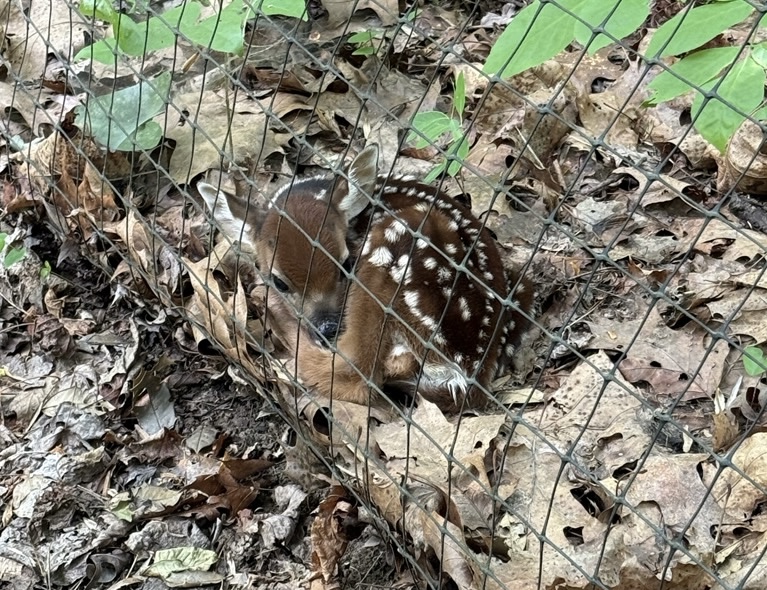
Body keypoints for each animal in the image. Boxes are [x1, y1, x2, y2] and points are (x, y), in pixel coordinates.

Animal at [197, 145, 531, 411]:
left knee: (359, 373)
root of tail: (469, 372)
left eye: (347, 264)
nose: (328, 328)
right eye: (280, 281)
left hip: (389, 264)